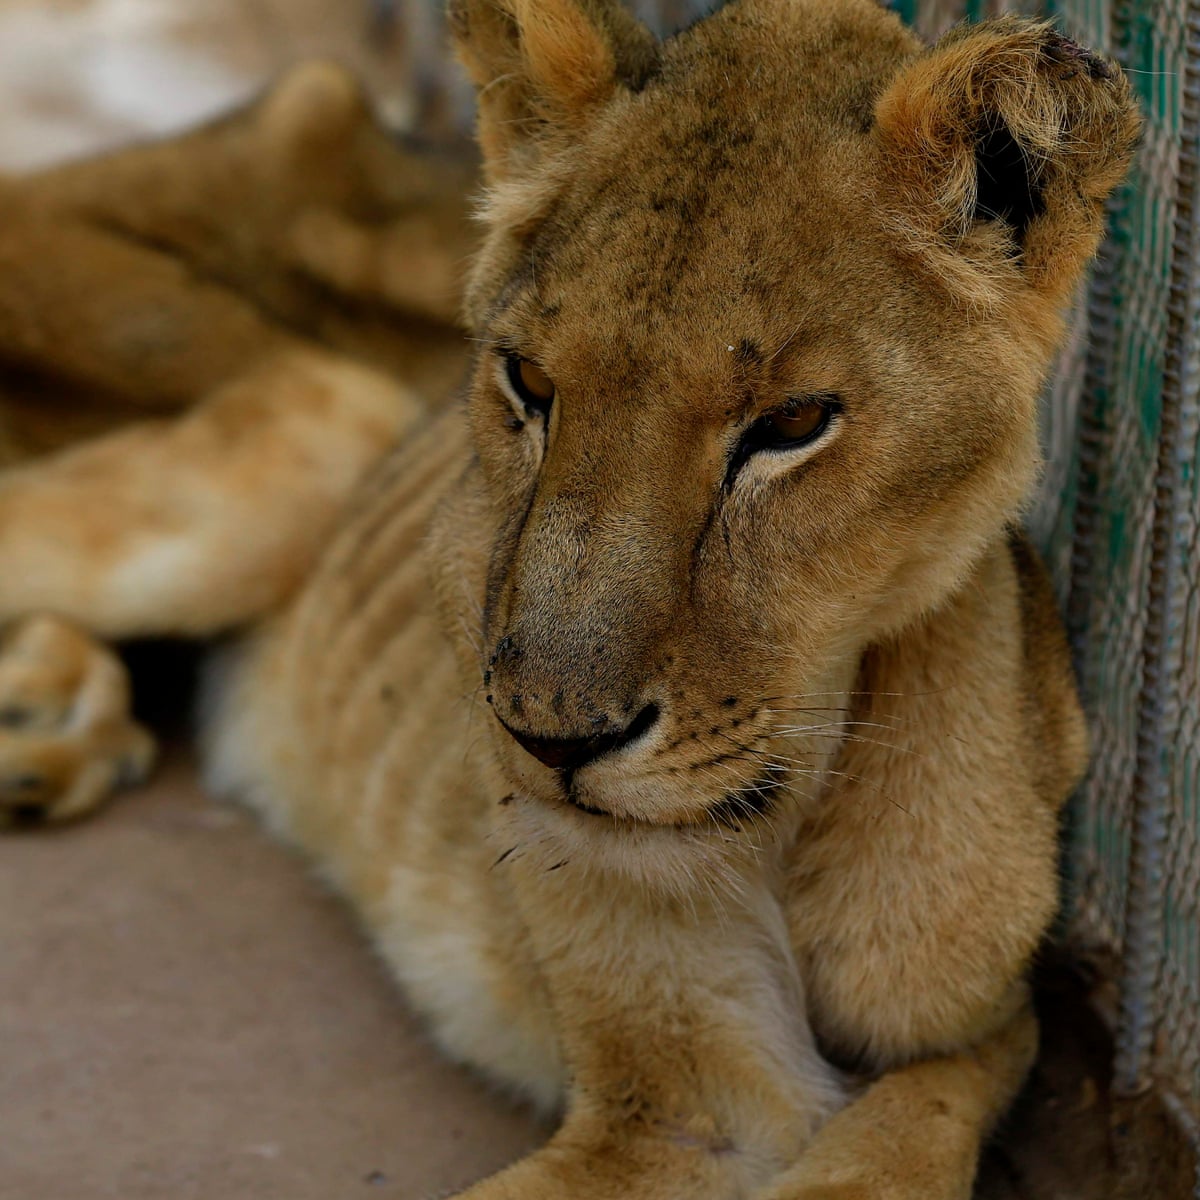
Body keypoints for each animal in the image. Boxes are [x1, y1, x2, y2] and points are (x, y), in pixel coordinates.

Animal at [0, 0, 1139, 1196]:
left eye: (791, 424)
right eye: (529, 383)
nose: (552, 743)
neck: (801, 812)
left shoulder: (984, 1025)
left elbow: (908, 1128)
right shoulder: (676, 1112)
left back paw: (45, 732)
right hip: (322, 411)